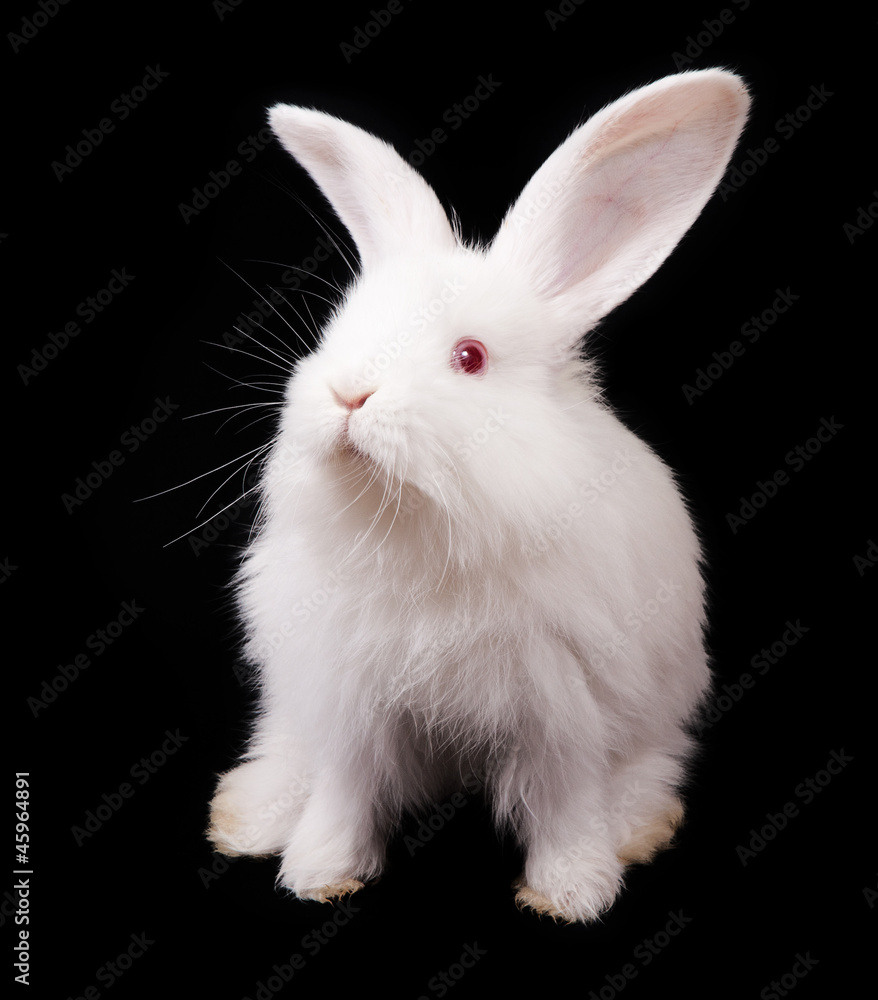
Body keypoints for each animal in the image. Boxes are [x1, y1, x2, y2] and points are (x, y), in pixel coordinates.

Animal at [207, 69, 750, 923]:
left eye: (470, 358)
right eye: (339, 329)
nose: (348, 394)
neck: (420, 526)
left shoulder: (563, 711)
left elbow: (564, 805)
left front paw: (569, 893)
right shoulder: (349, 704)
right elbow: (342, 794)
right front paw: (320, 874)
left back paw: (640, 827)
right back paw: (246, 818)